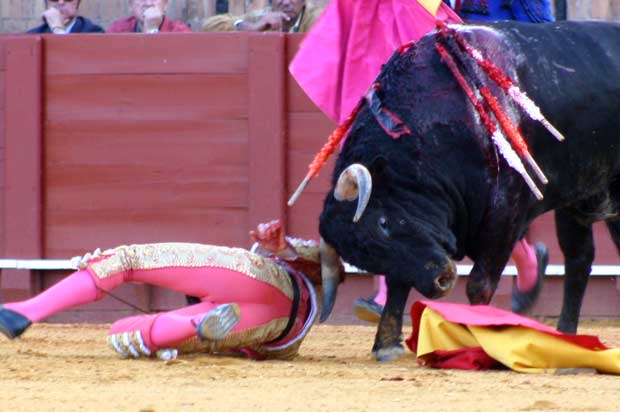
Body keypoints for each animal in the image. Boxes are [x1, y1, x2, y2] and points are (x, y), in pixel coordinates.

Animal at [318, 20, 620, 360]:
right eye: (367, 259)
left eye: (382, 223)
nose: (441, 280)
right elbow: (399, 280)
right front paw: (387, 345)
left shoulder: (506, 211)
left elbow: (480, 283)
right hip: (579, 198)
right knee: (579, 259)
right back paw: (567, 338)